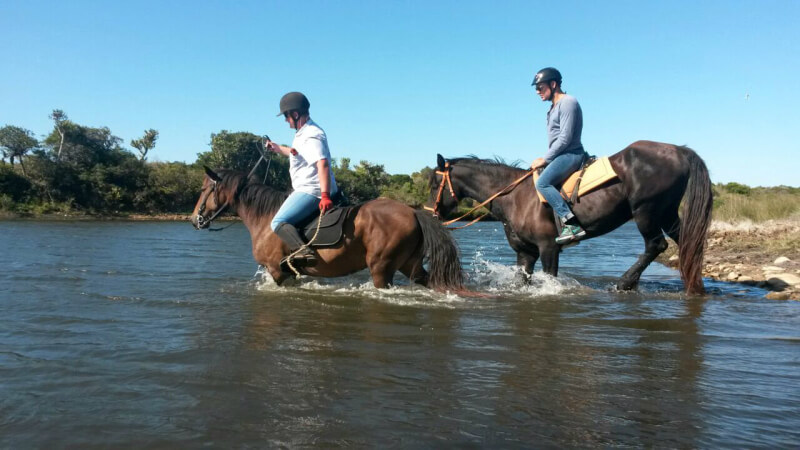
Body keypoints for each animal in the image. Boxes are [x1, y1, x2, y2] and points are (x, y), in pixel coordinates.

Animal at [192, 167, 462, 290]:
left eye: (204, 189)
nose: (195, 219)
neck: (266, 218)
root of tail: (412, 211)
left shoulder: (277, 272)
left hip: (382, 269)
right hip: (410, 264)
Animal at [432, 141, 712, 296]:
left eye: (434, 182)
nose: (432, 213)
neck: (514, 196)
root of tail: (679, 151)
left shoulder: (548, 247)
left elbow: (550, 278)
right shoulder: (526, 252)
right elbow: (522, 281)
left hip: (646, 211)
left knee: (656, 245)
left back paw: (624, 283)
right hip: (666, 213)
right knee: (687, 243)